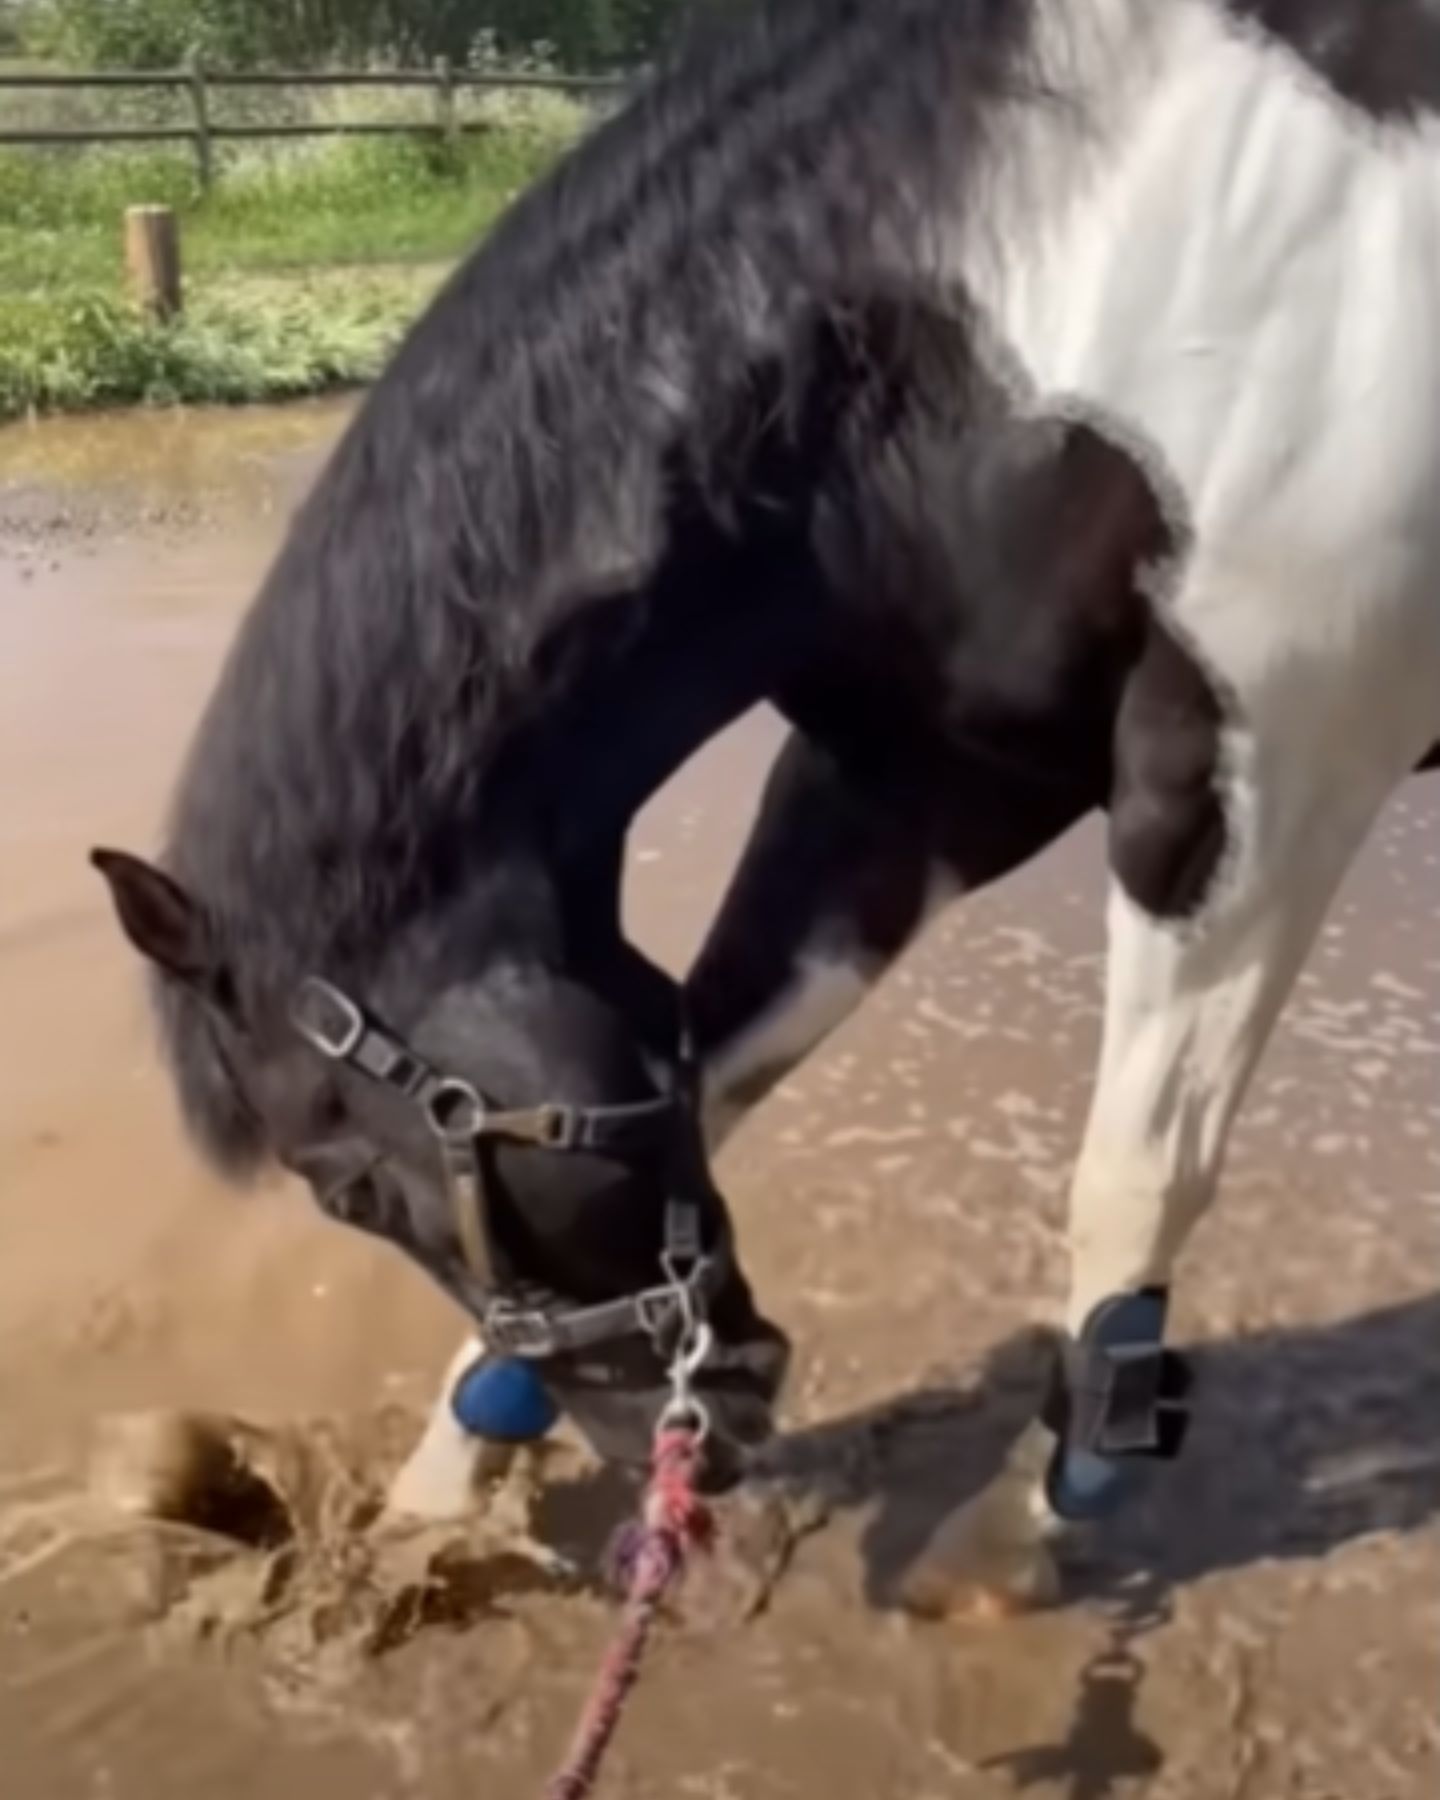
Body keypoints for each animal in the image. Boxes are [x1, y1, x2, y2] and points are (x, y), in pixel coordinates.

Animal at [92, 0, 1440, 1612]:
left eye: (346, 1188)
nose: (710, 1422)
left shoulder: (1257, 769)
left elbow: (1135, 1176)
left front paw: (1018, 1531)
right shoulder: (916, 778)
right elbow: (707, 1064)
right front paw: (432, 1500)